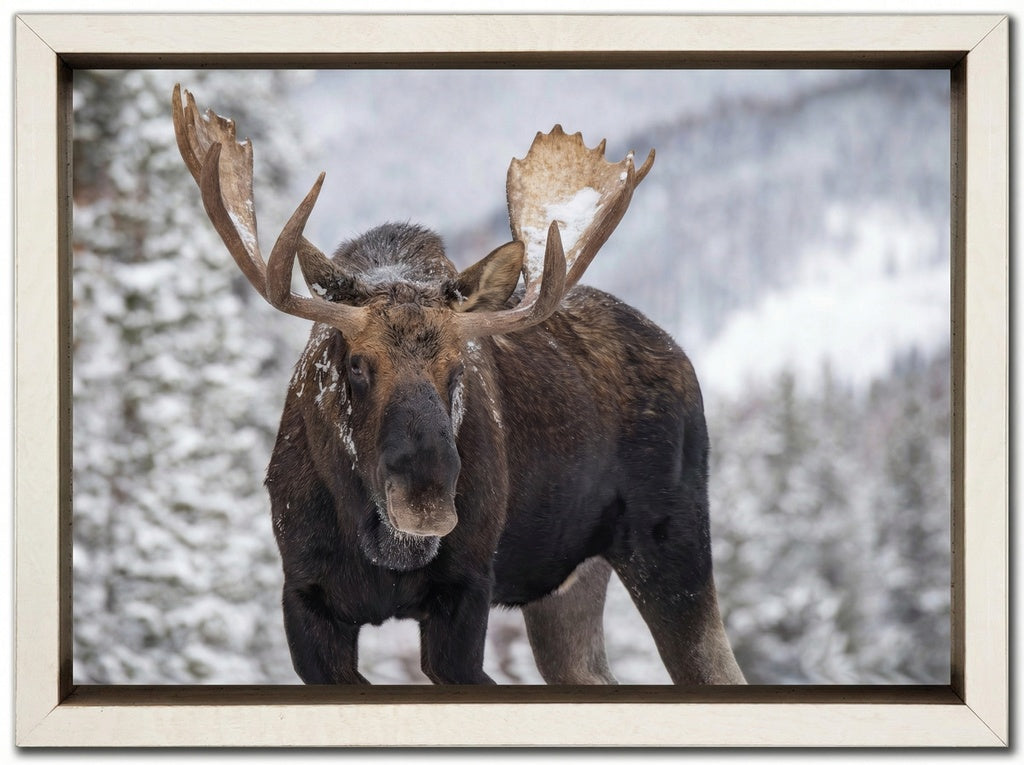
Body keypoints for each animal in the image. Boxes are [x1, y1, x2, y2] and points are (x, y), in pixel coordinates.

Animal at [171, 84, 745, 685]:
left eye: (459, 367)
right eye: (356, 363)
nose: (426, 500)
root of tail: (680, 355)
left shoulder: (466, 591)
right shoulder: (305, 598)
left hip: (671, 541)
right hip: (565, 584)